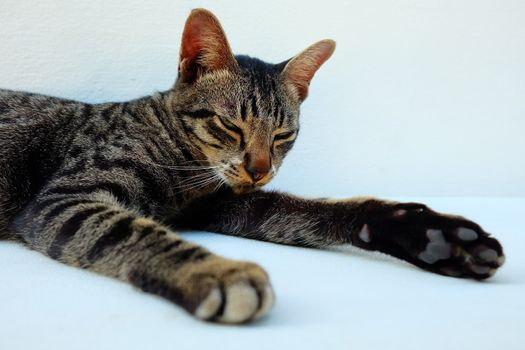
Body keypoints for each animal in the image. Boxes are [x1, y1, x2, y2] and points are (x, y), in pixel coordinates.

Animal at [0, 8, 504, 326]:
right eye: (229, 125)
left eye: (283, 135)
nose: (259, 169)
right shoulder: (67, 197)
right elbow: (131, 230)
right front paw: (217, 272)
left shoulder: (228, 205)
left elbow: (318, 210)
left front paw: (431, 233)